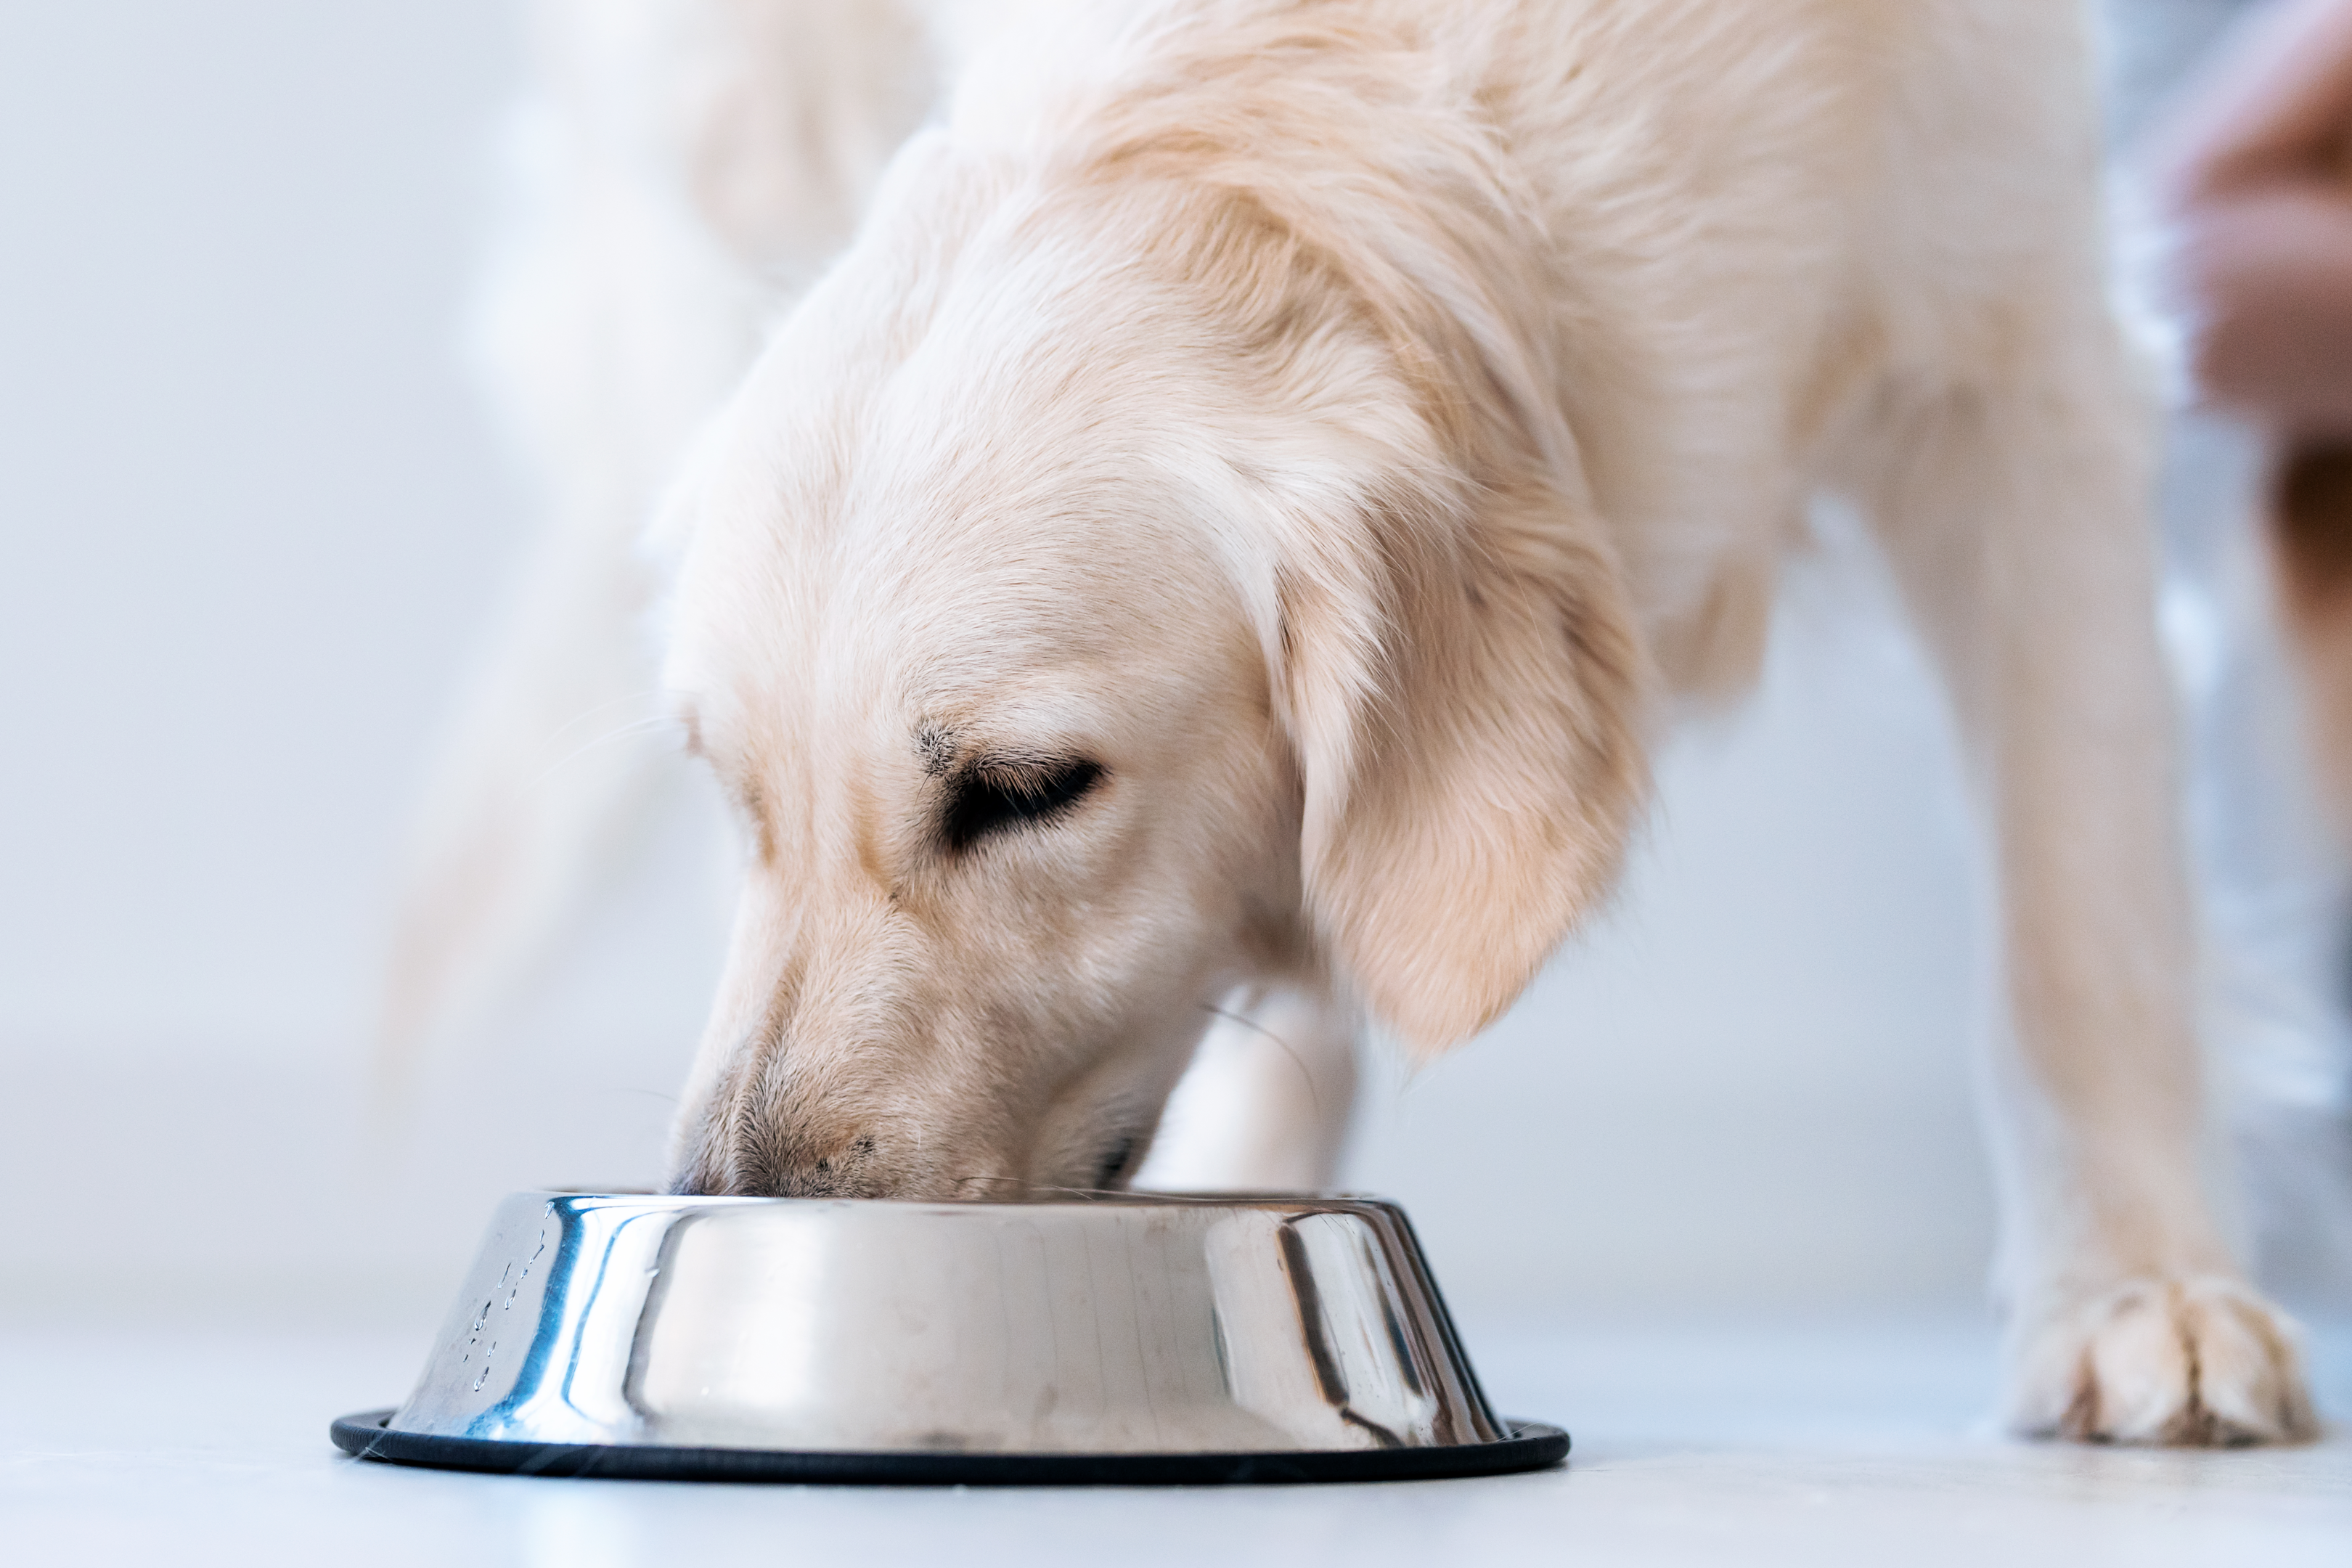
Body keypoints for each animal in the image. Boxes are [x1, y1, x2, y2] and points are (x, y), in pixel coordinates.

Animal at [385, 0, 2314, 1447]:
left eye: (1025, 789)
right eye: (740, 798)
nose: (734, 1202)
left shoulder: (2023, 351)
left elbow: (2077, 915)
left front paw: (2140, 1291)